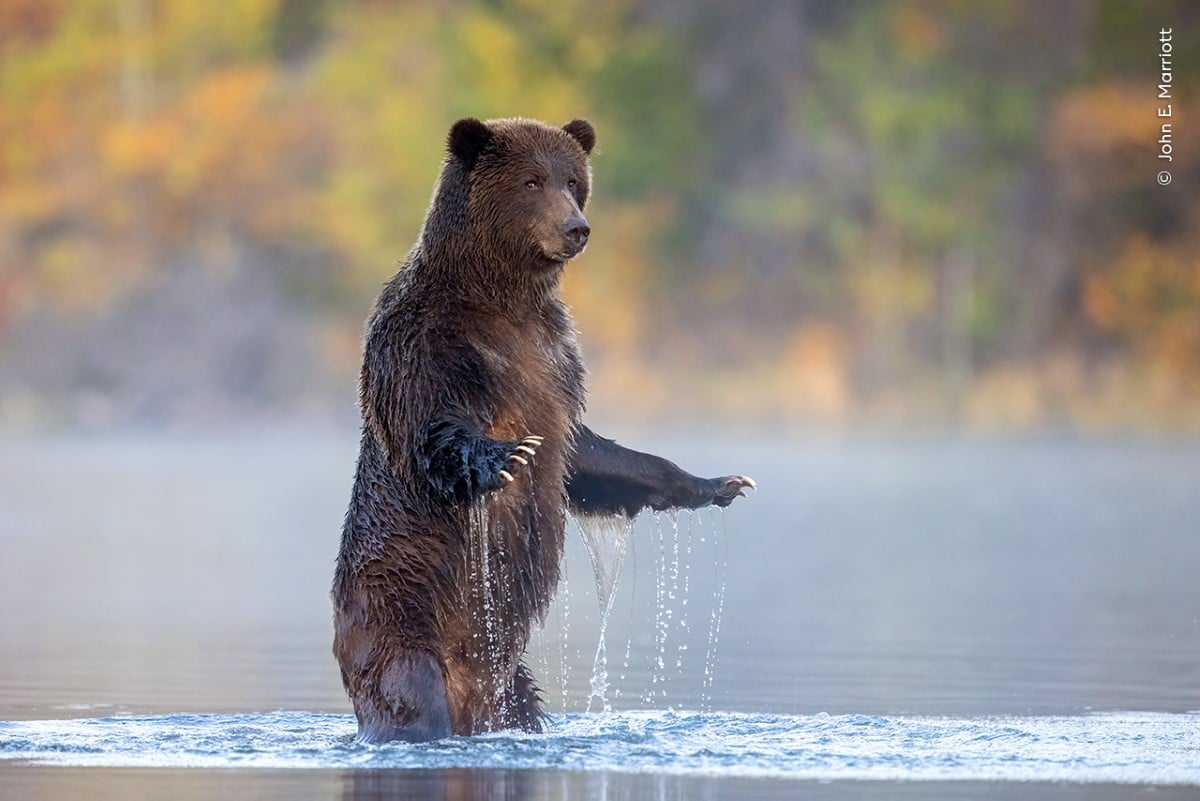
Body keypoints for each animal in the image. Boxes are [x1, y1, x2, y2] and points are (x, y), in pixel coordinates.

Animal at [333, 115, 753, 743]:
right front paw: (506, 457)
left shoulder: (555, 362)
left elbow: (588, 455)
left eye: (573, 181)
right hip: (400, 616)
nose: (576, 228)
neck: (500, 298)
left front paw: (720, 483)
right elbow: (431, 428)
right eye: (531, 181)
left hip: (510, 681)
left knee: (523, 704)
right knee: (409, 695)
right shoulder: (423, 343)